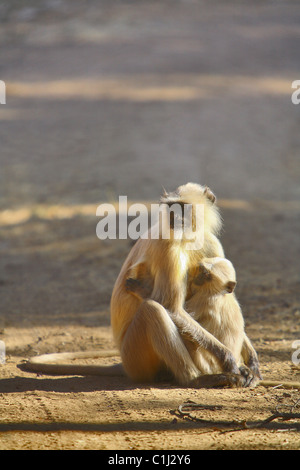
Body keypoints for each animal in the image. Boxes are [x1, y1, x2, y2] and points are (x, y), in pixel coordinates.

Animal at [17, 185, 300, 392]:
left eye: (182, 207)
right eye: (171, 208)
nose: (175, 217)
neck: (188, 237)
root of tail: (124, 363)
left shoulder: (210, 242)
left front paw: (252, 362)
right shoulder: (168, 246)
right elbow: (170, 307)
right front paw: (231, 361)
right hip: (136, 355)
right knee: (152, 310)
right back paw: (194, 380)